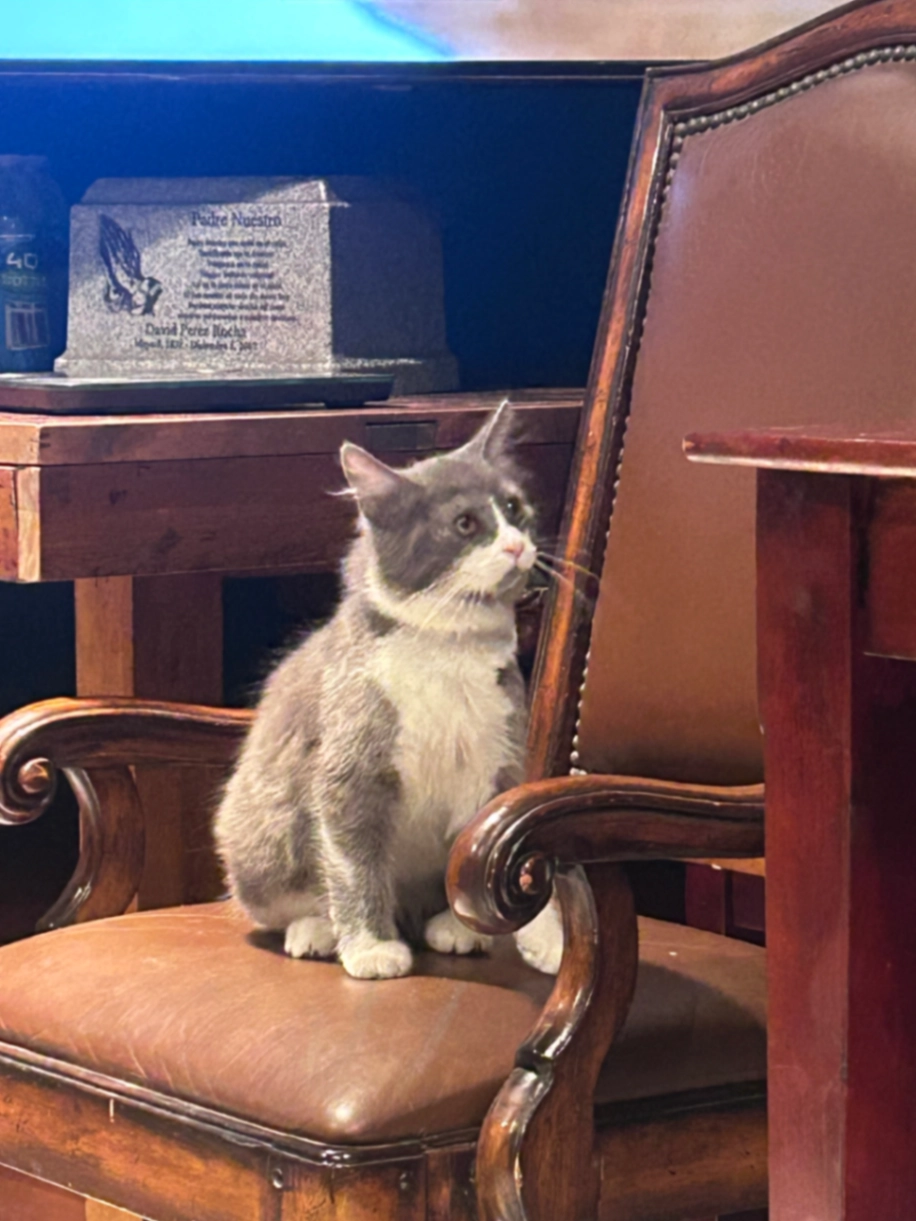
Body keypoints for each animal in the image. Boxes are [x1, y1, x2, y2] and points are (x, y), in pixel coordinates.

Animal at [213, 402, 563, 980]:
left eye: (514, 507)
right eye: (464, 523)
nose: (516, 545)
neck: (448, 653)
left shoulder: (502, 755)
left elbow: (514, 854)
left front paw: (548, 940)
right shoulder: (349, 759)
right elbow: (353, 862)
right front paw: (371, 948)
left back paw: (455, 927)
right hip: (258, 834)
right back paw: (318, 930)